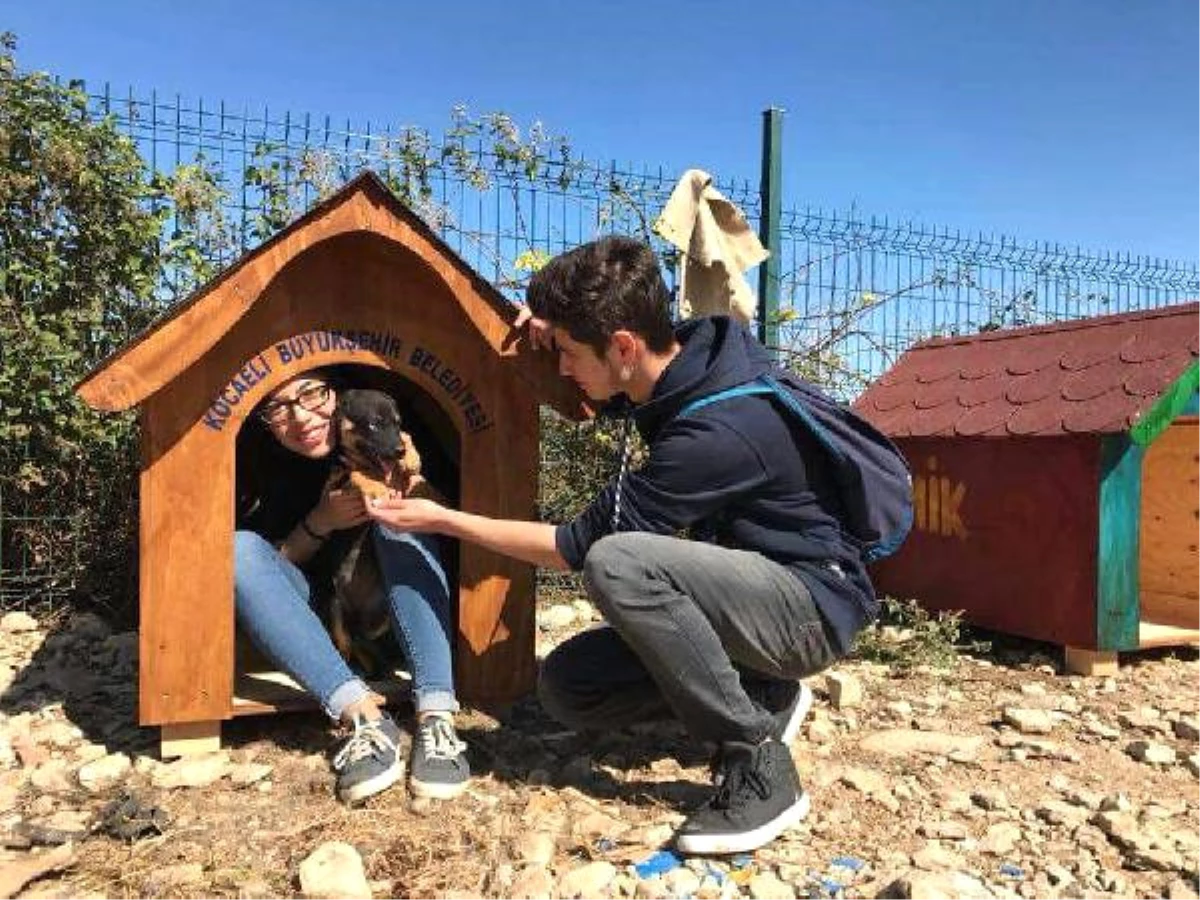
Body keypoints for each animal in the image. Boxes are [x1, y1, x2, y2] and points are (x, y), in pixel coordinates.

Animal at [326, 388, 444, 676]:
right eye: (374, 424)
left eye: (397, 423)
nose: (398, 452)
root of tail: (360, 622)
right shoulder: (340, 477)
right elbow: (357, 472)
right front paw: (375, 487)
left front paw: (412, 457)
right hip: (335, 607)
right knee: (346, 645)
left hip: (383, 618)